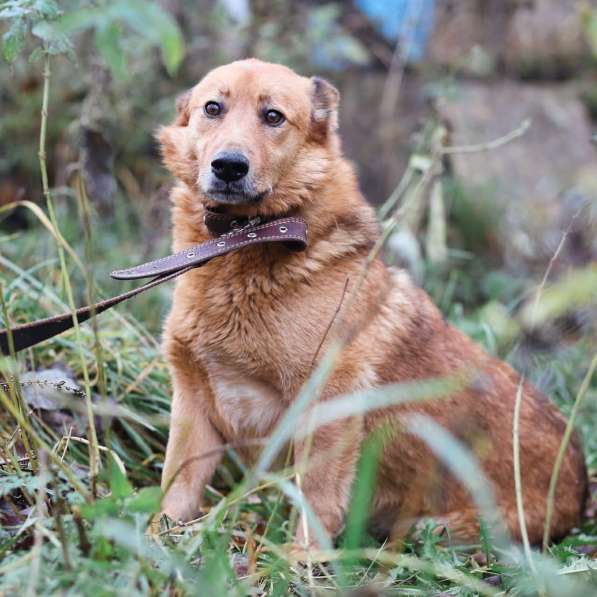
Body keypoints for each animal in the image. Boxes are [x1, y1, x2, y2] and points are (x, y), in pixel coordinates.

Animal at [155, 59, 588, 544]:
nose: (229, 166)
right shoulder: (193, 405)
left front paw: (300, 560)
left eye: (273, 117)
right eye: (212, 108)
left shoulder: (329, 406)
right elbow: (173, 494)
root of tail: (580, 493)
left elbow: (317, 504)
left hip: (442, 527)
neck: (245, 238)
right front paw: (152, 542)